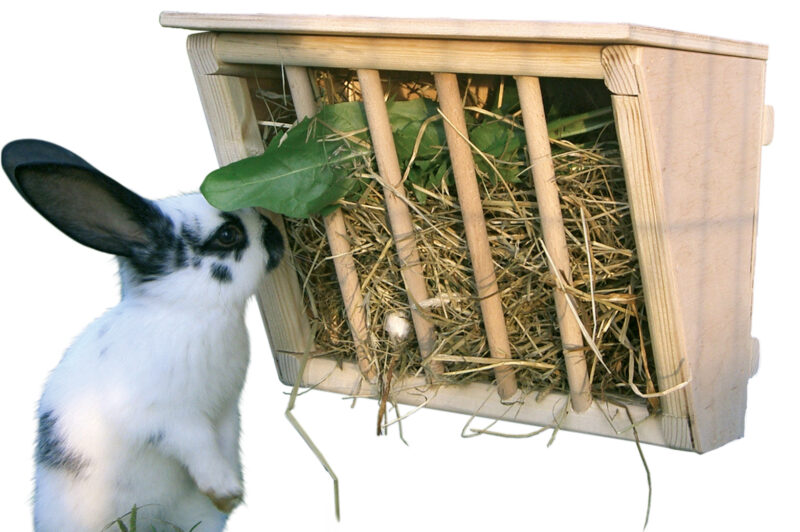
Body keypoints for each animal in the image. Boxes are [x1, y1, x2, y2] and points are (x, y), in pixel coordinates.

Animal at [1, 139, 284, 528]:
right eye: (228, 235)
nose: (277, 236)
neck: (188, 310)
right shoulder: (166, 417)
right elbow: (197, 445)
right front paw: (226, 491)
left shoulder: (227, 411)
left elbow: (225, 443)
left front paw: (229, 494)